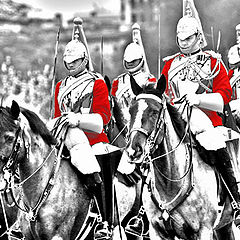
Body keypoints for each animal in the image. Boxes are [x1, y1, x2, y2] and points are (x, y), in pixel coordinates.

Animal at [124, 75, 237, 240]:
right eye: (131, 110)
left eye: (154, 112)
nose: (133, 150)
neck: (170, 183)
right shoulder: (157, 232)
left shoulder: (204, 230)